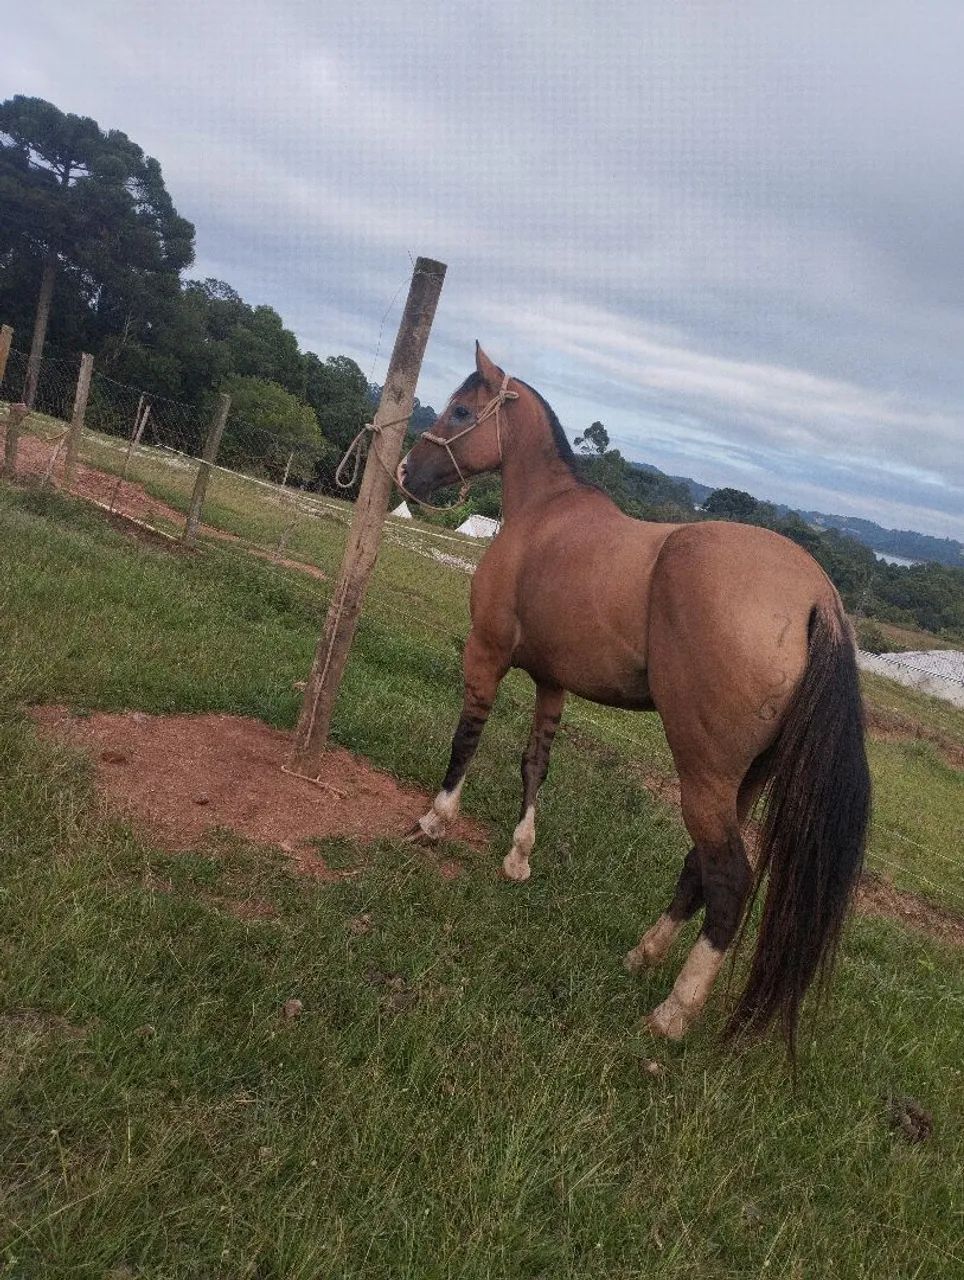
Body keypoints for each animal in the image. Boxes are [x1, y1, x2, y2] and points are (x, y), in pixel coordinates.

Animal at [397, 345, 871, 1053]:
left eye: (459, 410)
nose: (406, 470)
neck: (545, 515)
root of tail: (819, 597)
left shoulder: (486, 655)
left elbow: (467, 739)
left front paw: (436, 819)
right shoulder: (552, 682)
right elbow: (535, 765)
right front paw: (519, 856)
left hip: (703, 773)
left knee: (729, 880)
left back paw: (672, 1013)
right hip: (743, 781)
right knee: (700, 869)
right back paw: (642, 956)